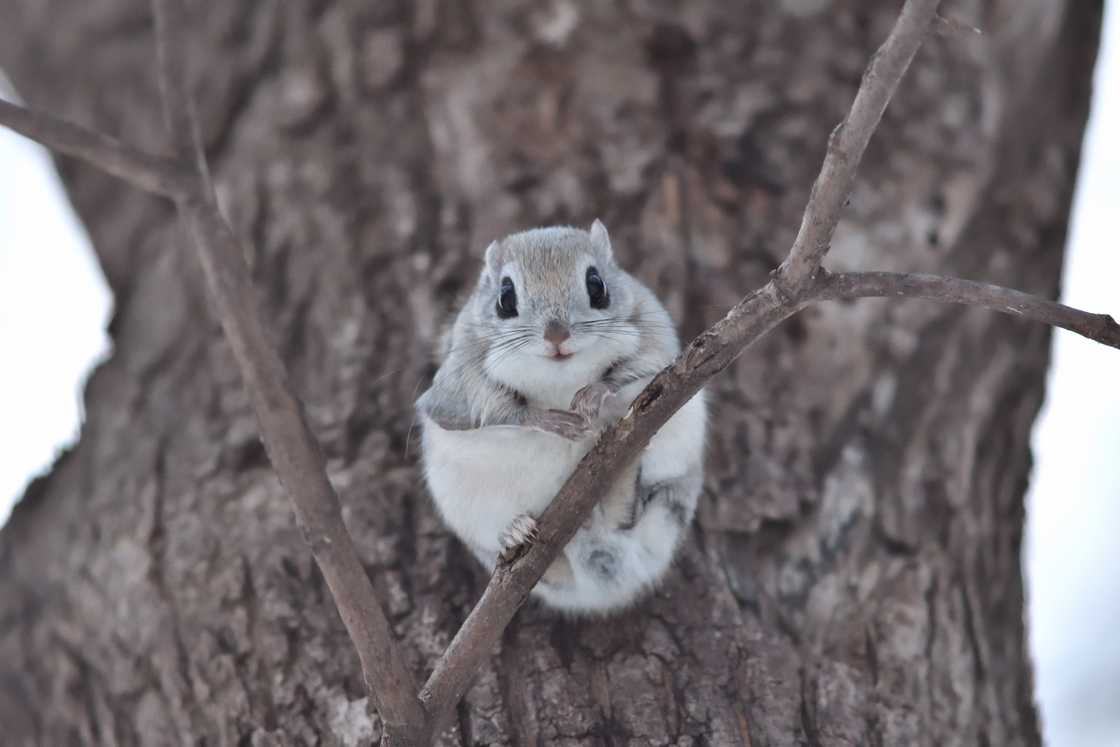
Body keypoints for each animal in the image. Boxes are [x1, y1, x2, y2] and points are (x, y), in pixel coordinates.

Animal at [416, 220, 703, 613]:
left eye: (597, 286)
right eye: (505, 298)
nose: (557, 334)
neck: (560, 378)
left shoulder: (652, 329)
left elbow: (644, 362)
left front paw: (594, 395)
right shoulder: (457, 380)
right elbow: (482, 408)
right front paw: (548, 420)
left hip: (676, 466)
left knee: (630, 514)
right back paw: (515, 532)